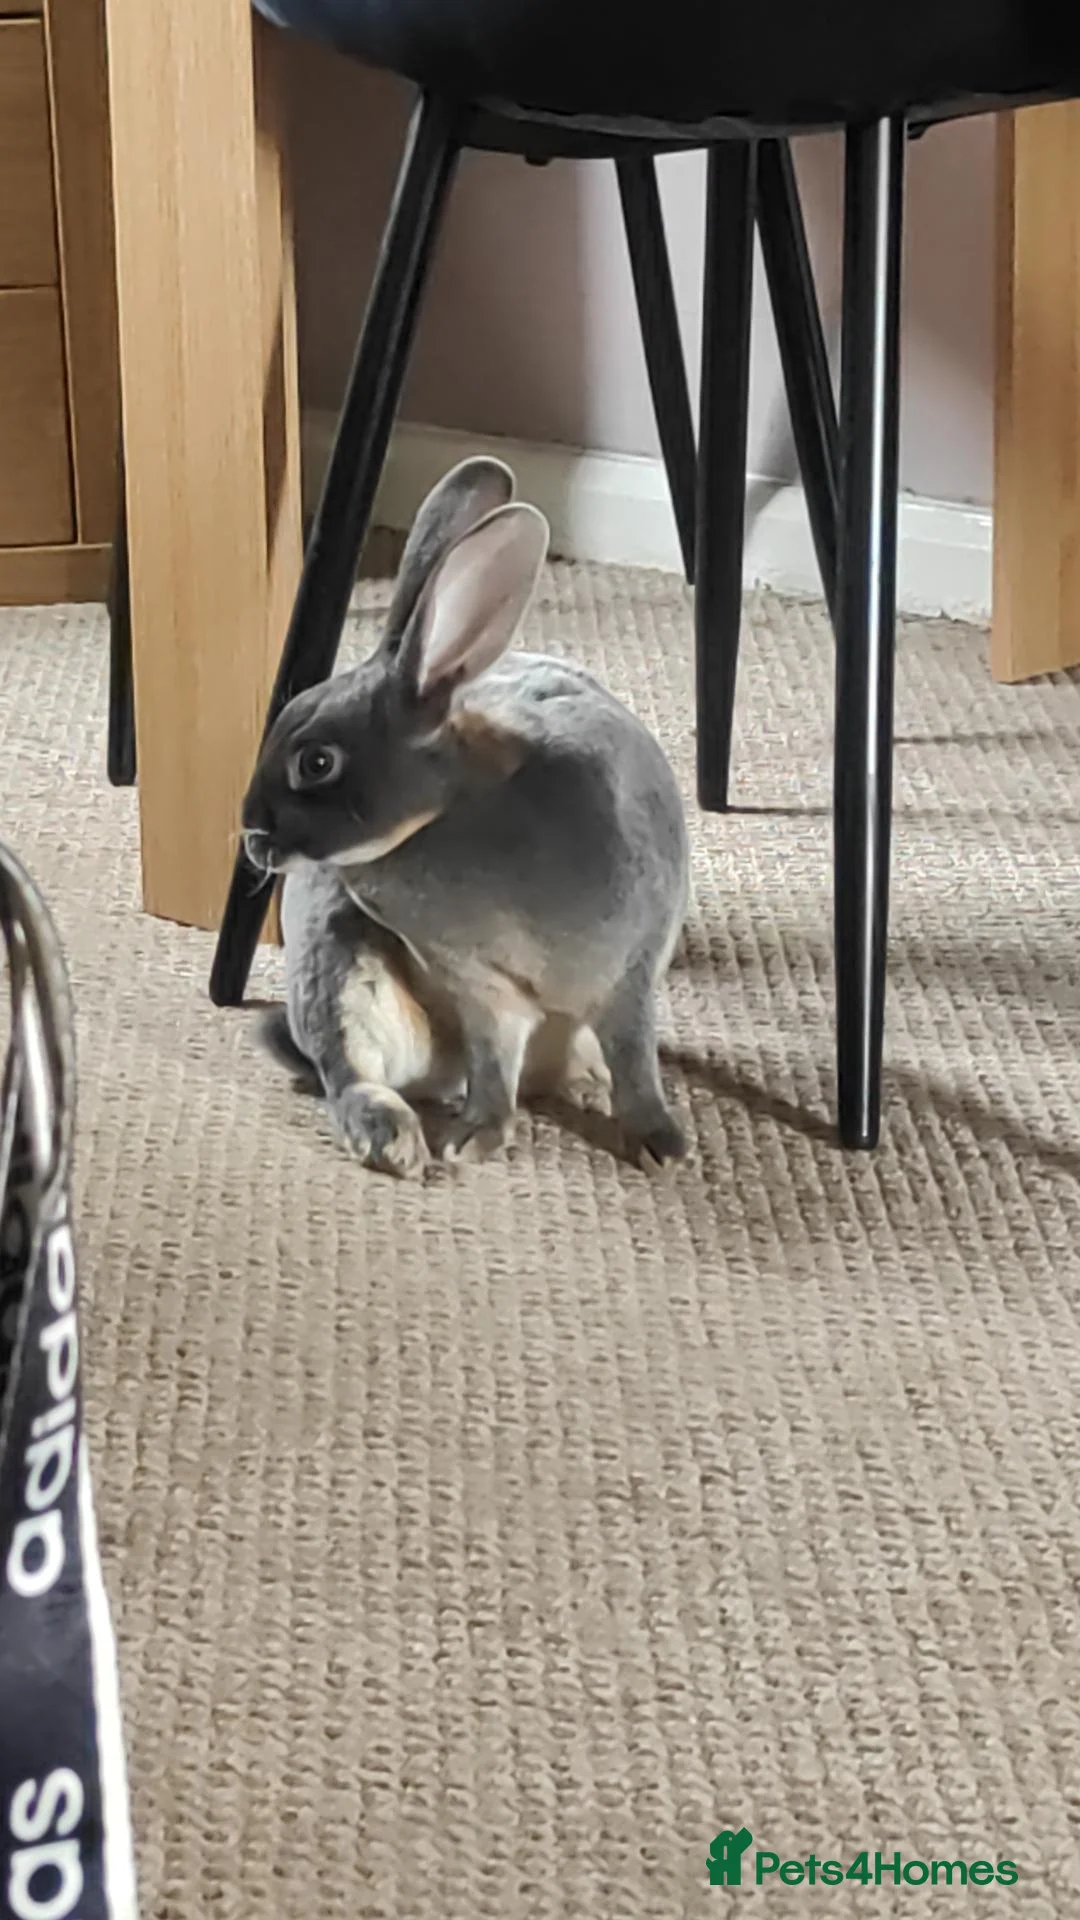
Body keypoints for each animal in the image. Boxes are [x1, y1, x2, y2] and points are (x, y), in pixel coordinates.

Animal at [242, 455, 689, 1178]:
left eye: (316, 762)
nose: (253, 834)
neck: (452, 807)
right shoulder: (481, 988)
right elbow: (493, 1064)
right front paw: (474, 1138)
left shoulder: (631, 970)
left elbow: (636, 1060)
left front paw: (659, 1143)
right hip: (341, 972)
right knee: (352, 1071)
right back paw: (394, 1139)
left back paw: (585, 1088)